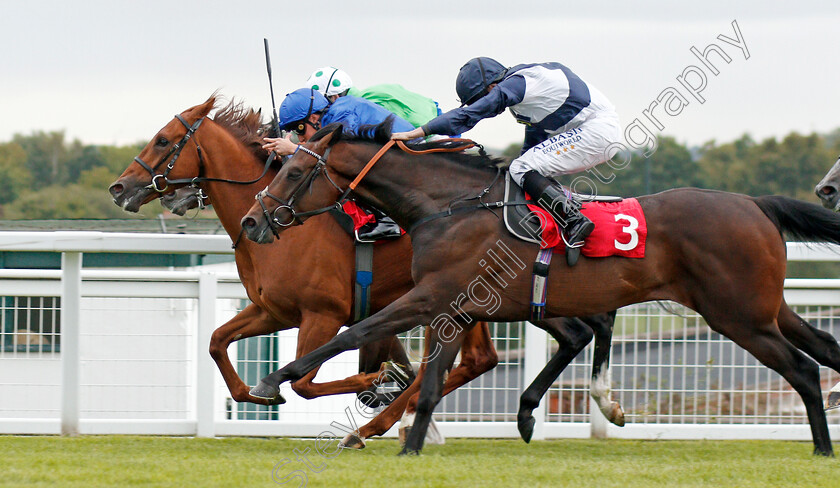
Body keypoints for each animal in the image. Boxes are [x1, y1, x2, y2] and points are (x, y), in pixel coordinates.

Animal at [106, 97, 624, 448]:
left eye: (163, 140)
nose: (119, 188)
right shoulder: (273, 310)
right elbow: (217, 342)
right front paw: (260, 395)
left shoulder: (323, 314)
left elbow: (307, 380)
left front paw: (377, 382)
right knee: (491, 357)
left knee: (496, 354)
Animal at [241, 120, 840, 456]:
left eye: (293, 172)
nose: (252, 221)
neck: (449, 207)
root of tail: (756, 204)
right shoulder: (455, 309)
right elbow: (429, 383)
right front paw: (408, 447)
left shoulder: (432, 297)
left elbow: (352, 334)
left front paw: (272, 380)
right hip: (766, 309)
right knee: (825, 350)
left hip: (738, 315)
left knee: (804, 369)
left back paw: (820, 449)